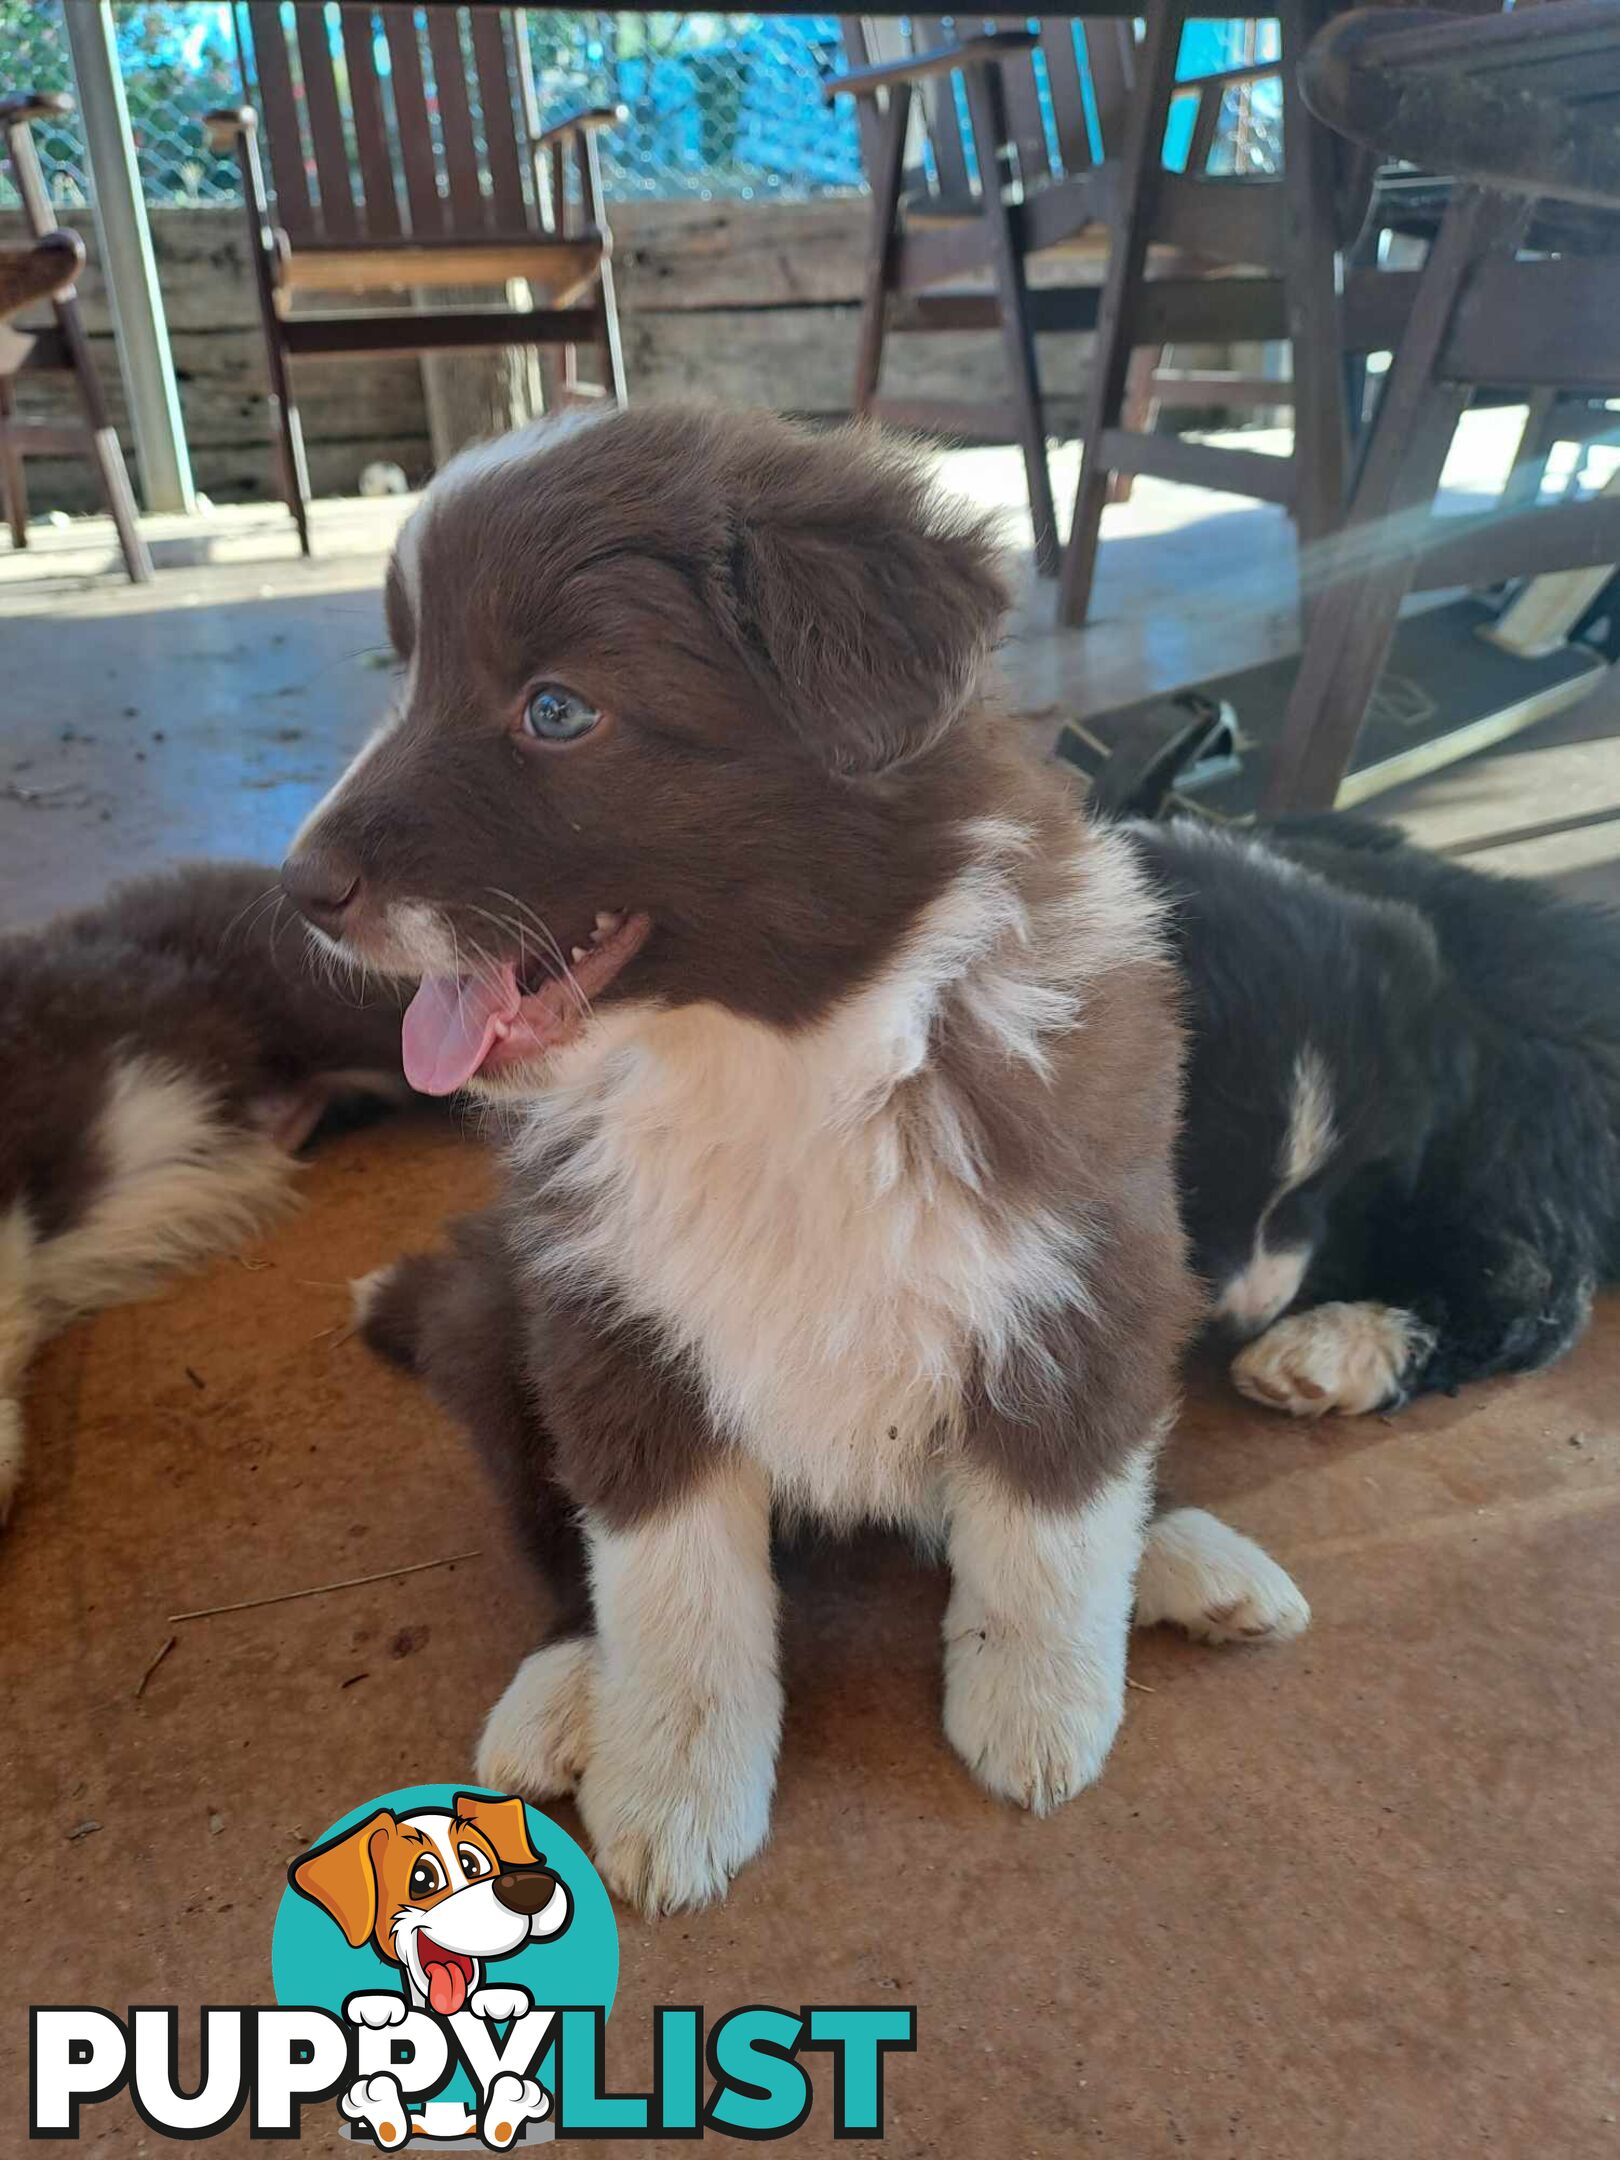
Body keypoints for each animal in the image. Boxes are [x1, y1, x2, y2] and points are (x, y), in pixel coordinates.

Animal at [289, 406, 1304, 1909]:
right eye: (406, 675)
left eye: (556, 709)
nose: (299, 889)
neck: (779, 1055)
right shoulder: (615, 1328)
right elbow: (669, 1589)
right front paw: (671, 1789)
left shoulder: (1078, 1262)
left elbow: (1050, 1520)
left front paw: (1038, 1713)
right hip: (497, 1329)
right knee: (558, 1548)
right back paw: (563, 1693)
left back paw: (1183, 1553)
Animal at [1131, 812, 1620, 1416]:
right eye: (1196, 1178)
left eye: (1330, 1185)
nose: (1241, 1320)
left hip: (1517, 1108)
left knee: (1531, 1280)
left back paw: (1323, 1350)